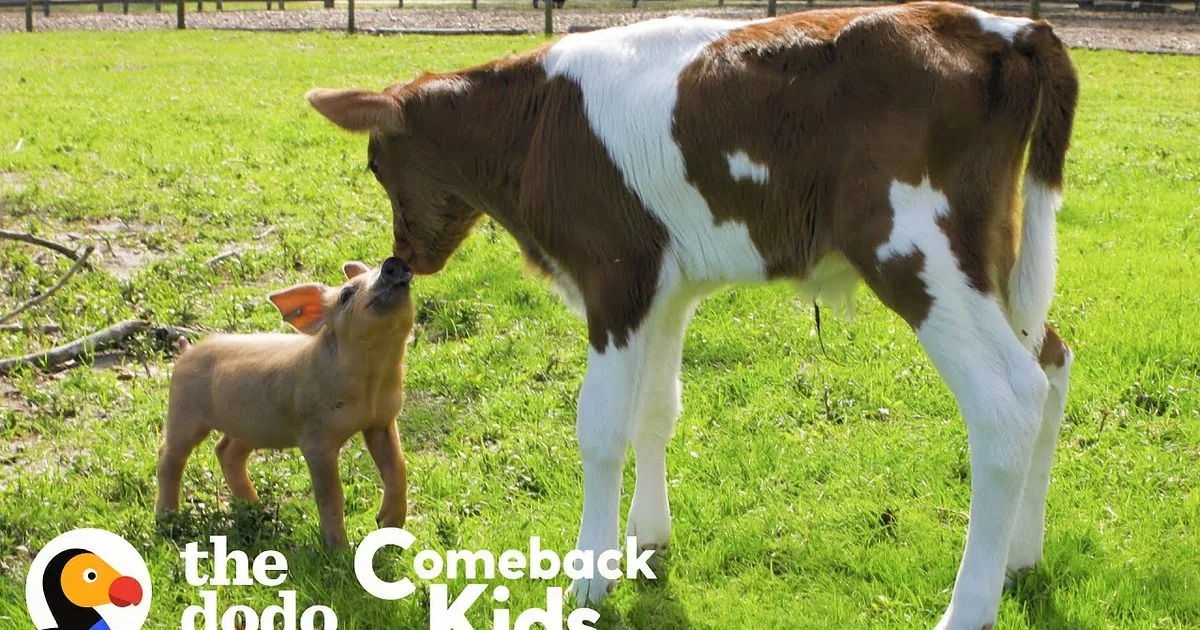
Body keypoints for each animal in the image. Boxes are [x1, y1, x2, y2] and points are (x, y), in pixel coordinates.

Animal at [155, 257, 415, 548]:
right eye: (346, 295)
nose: (392, 262)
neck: (372, 379)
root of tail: (186, 351)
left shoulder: (382, 421)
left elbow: (397, 467)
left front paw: (389, 525)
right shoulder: (315, 438)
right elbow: (330, 494)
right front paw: (338, 550)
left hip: (250, 426)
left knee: (226, 451)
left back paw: (259, 510)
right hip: (183, 409)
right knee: (169, 455)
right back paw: (167, 519)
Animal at [306, 4, 1078, 627]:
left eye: (376, 165)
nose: (404, 257)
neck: (536, 122)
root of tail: (1002, 26)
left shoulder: (614, 278)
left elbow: (600, 427)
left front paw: (589, 574)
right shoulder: (666, 289)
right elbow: (656, 409)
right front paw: (646, 539)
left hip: (914, 248)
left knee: (1007, 397)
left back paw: (970, 607)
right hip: (994, 252)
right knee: (1052, 362)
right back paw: (1022, 555)